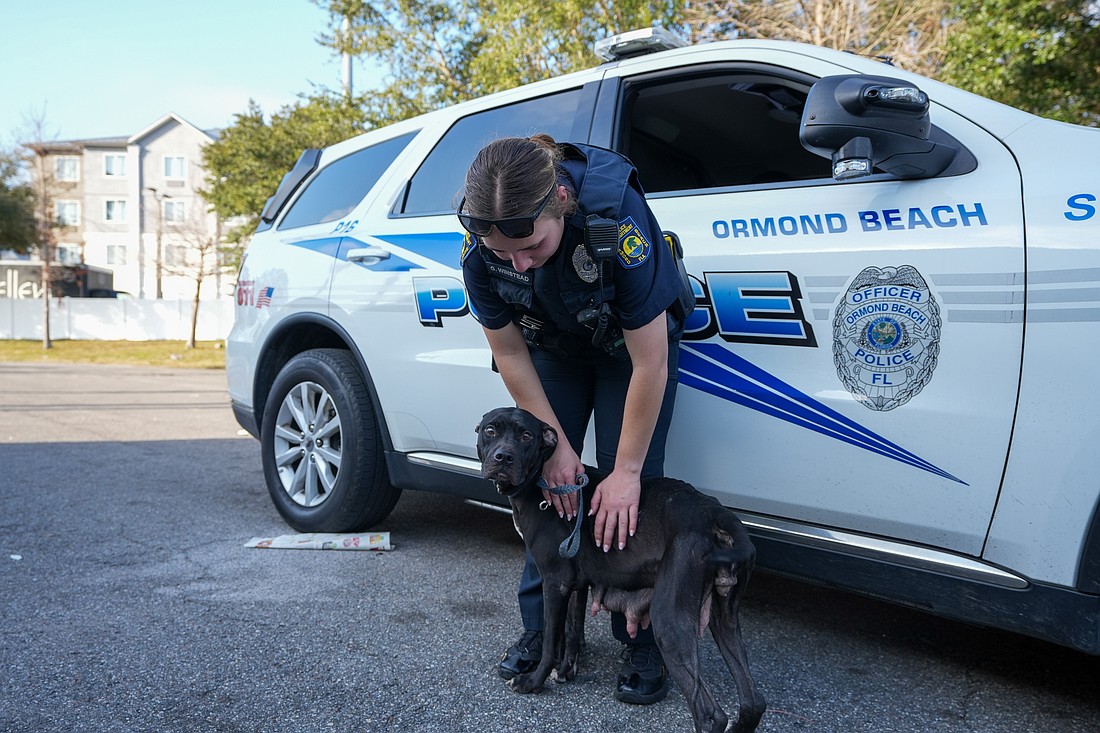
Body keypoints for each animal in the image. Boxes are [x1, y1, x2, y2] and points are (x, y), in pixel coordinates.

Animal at [477, 405, 770, 730]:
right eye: (490, 430)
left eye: (527, 435)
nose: (503, 457)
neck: (540, 482)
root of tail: (717, 513)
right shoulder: (575, 583)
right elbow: (572, 629)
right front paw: (567, 670)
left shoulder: (555, 582)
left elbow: (553, 639)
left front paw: (533, 682)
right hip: (724, 615)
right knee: (753, 702)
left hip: (669, 621)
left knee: (711, 715)